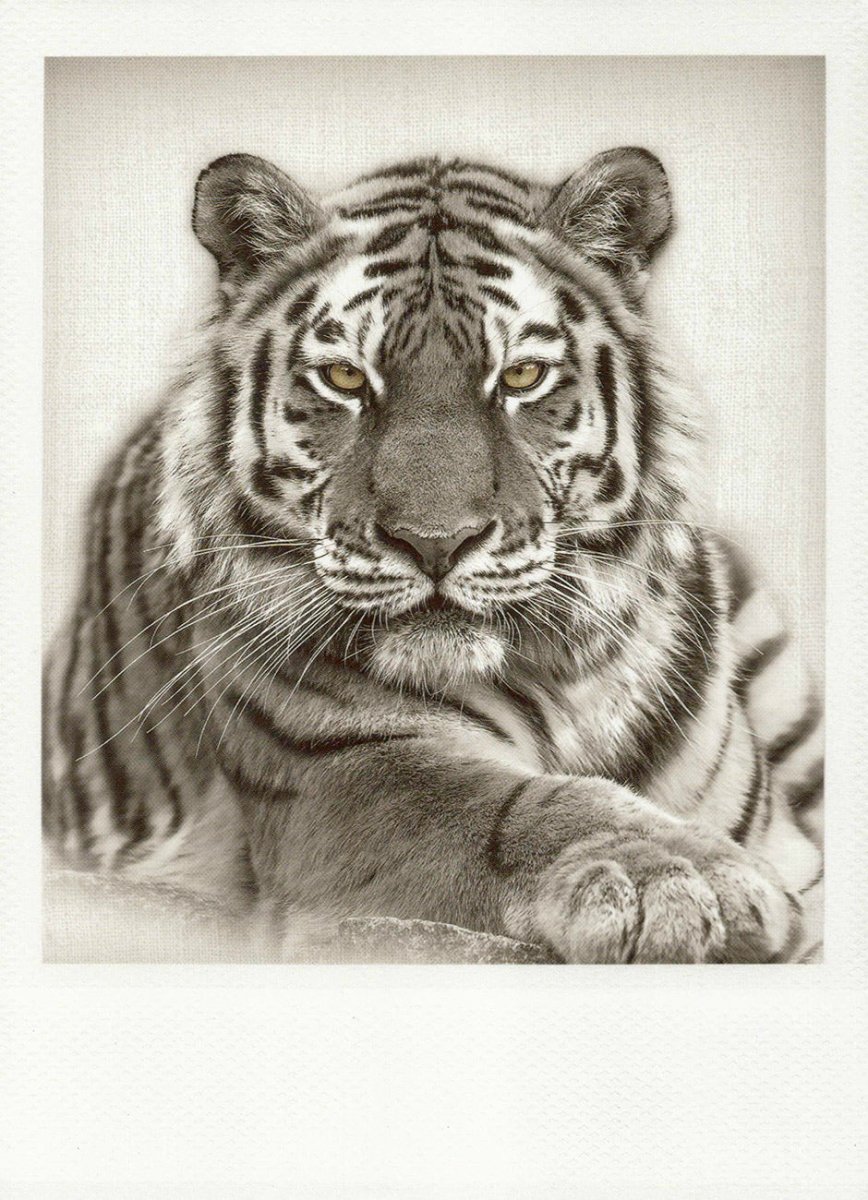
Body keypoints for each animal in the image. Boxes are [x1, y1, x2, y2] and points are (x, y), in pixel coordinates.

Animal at [43, 147, 824, 963]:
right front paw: (681, 879)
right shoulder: (342, 775)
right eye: (346, 378)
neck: (564, 681)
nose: (435, 541)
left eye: (521, 376)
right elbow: (519, 808)